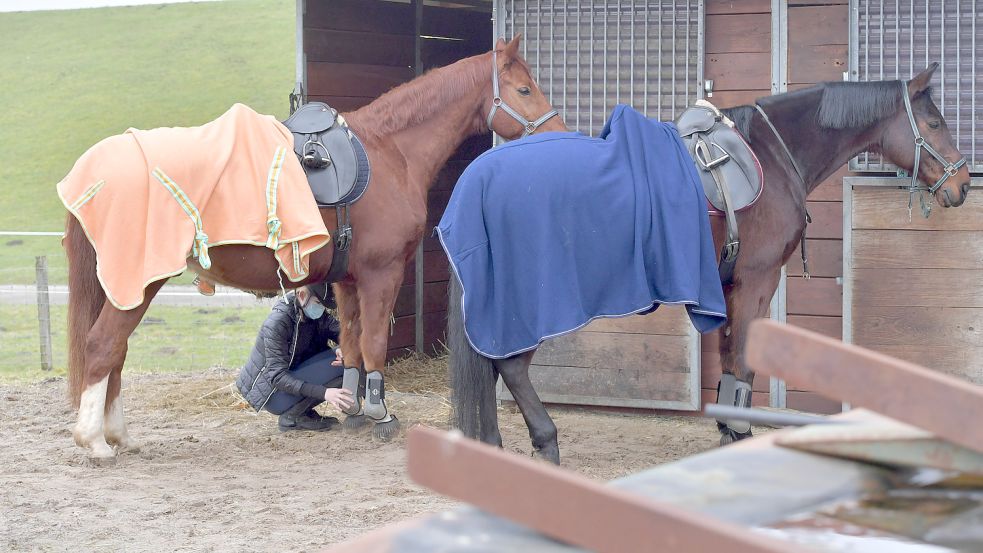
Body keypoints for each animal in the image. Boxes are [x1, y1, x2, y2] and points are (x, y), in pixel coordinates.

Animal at [63, 35, 568, 462]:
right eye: (524, 89)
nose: (559, 134)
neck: (389, 152)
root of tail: (96, 170)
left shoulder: (347, 279)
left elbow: (351, 345)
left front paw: (352, 408)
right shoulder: (382, 274)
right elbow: (375, 342)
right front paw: (380, 414)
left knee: (116, 353)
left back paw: (118, 435)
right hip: (138, 282)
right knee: (104, 346)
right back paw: (95, 441)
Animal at [450, 62, 972, 464]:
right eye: (935, 124)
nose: (963, 184)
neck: (773, 154)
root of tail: (477, 180)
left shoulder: (727, 284)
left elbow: (727, 357)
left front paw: (727, 428)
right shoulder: (759, 280)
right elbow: (743, 358)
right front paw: (739, 434)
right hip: (528, 305)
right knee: (511, 367)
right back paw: (546, 443)